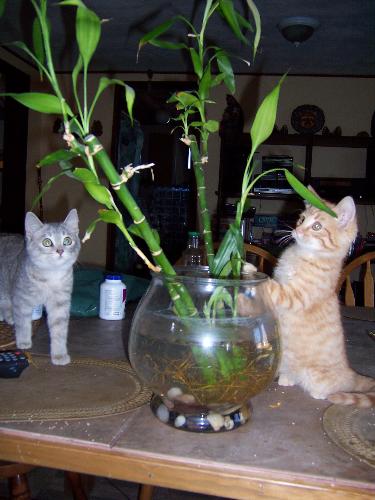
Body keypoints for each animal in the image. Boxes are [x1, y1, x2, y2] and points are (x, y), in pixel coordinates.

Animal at [0, 209, 80, 366]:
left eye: (67, 240)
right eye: (47, 242)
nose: (60, 250)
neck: (51, 276)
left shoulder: (60, 303)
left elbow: (59, 330)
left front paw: (59, 355)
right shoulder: (21, 299)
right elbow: (23, 323)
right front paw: (23, 341)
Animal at [239, 193, 375, 408]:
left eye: (317, 226)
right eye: (302, 219)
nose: (297, 231)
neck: (304, 256)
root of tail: (350, 373)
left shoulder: (295, 295)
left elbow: (271, 287)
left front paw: (248, 270)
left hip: (318, 377)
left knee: (328, 388)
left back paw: (318, 393)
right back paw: (286, 379)